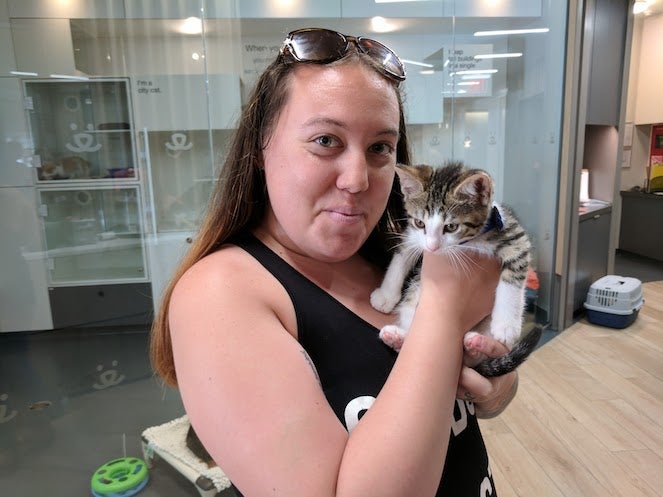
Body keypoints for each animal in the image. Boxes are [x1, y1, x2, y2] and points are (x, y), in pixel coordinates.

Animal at [370, 162, 544, 376]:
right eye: (420, 223)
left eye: (451, 227)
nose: (432, 247)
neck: (473, 239)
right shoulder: (413, 235)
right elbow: (402, 255)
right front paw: (385, 296)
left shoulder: (515, 237)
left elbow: (513, 277)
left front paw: (506, 325)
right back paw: (397, 338)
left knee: (470, 360)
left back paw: (476, 345)